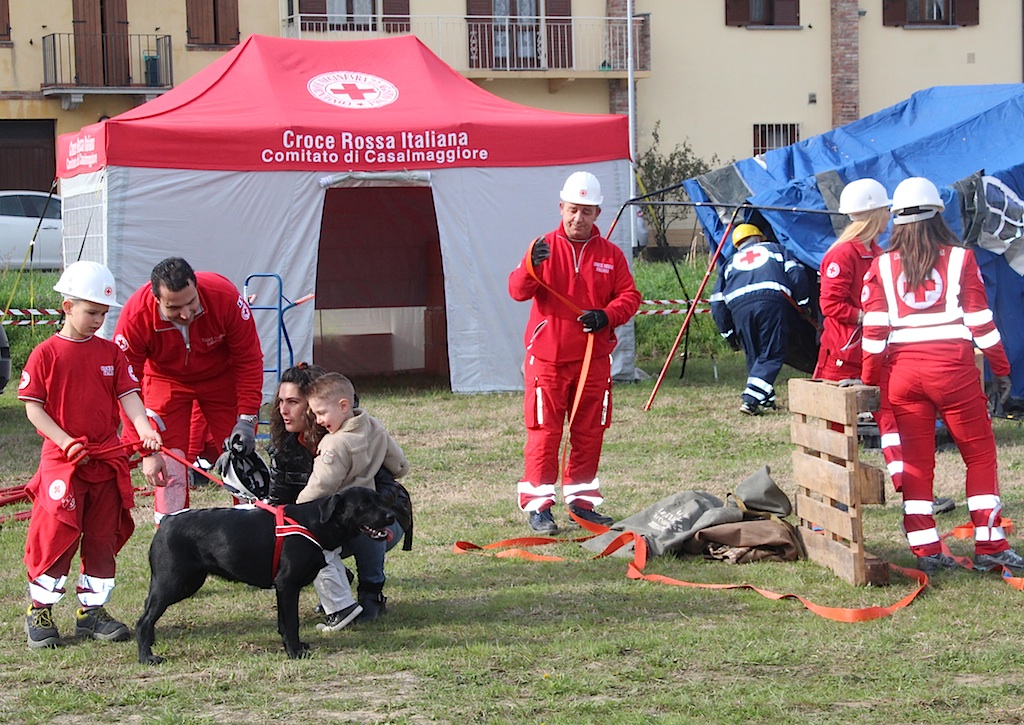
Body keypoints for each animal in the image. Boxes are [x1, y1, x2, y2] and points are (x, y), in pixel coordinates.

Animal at [136, 486, 395, 664]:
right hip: (174, 583)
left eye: (379, 500)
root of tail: (165, 522)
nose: (391, 516)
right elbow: (292, 622)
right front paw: (294, 652)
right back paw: (147, 657)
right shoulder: (287, 585)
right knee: (144, 620)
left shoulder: (283, 589)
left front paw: (295, 646)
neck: (314, 523)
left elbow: (283, 622)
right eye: (363, 505)